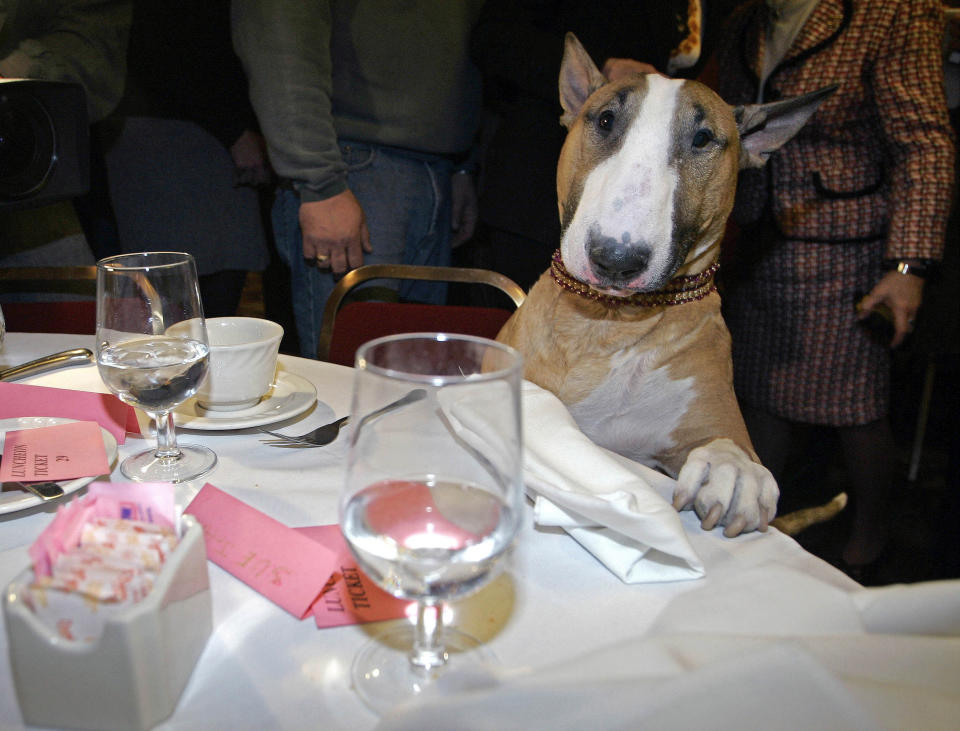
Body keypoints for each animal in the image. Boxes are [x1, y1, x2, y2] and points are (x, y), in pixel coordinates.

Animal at [498, 34, 836, 536]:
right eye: (605, 119)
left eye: (702, 138)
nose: (616, 259)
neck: (608, 323)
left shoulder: (706, 413)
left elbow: (729, 442)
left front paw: (733, 470)